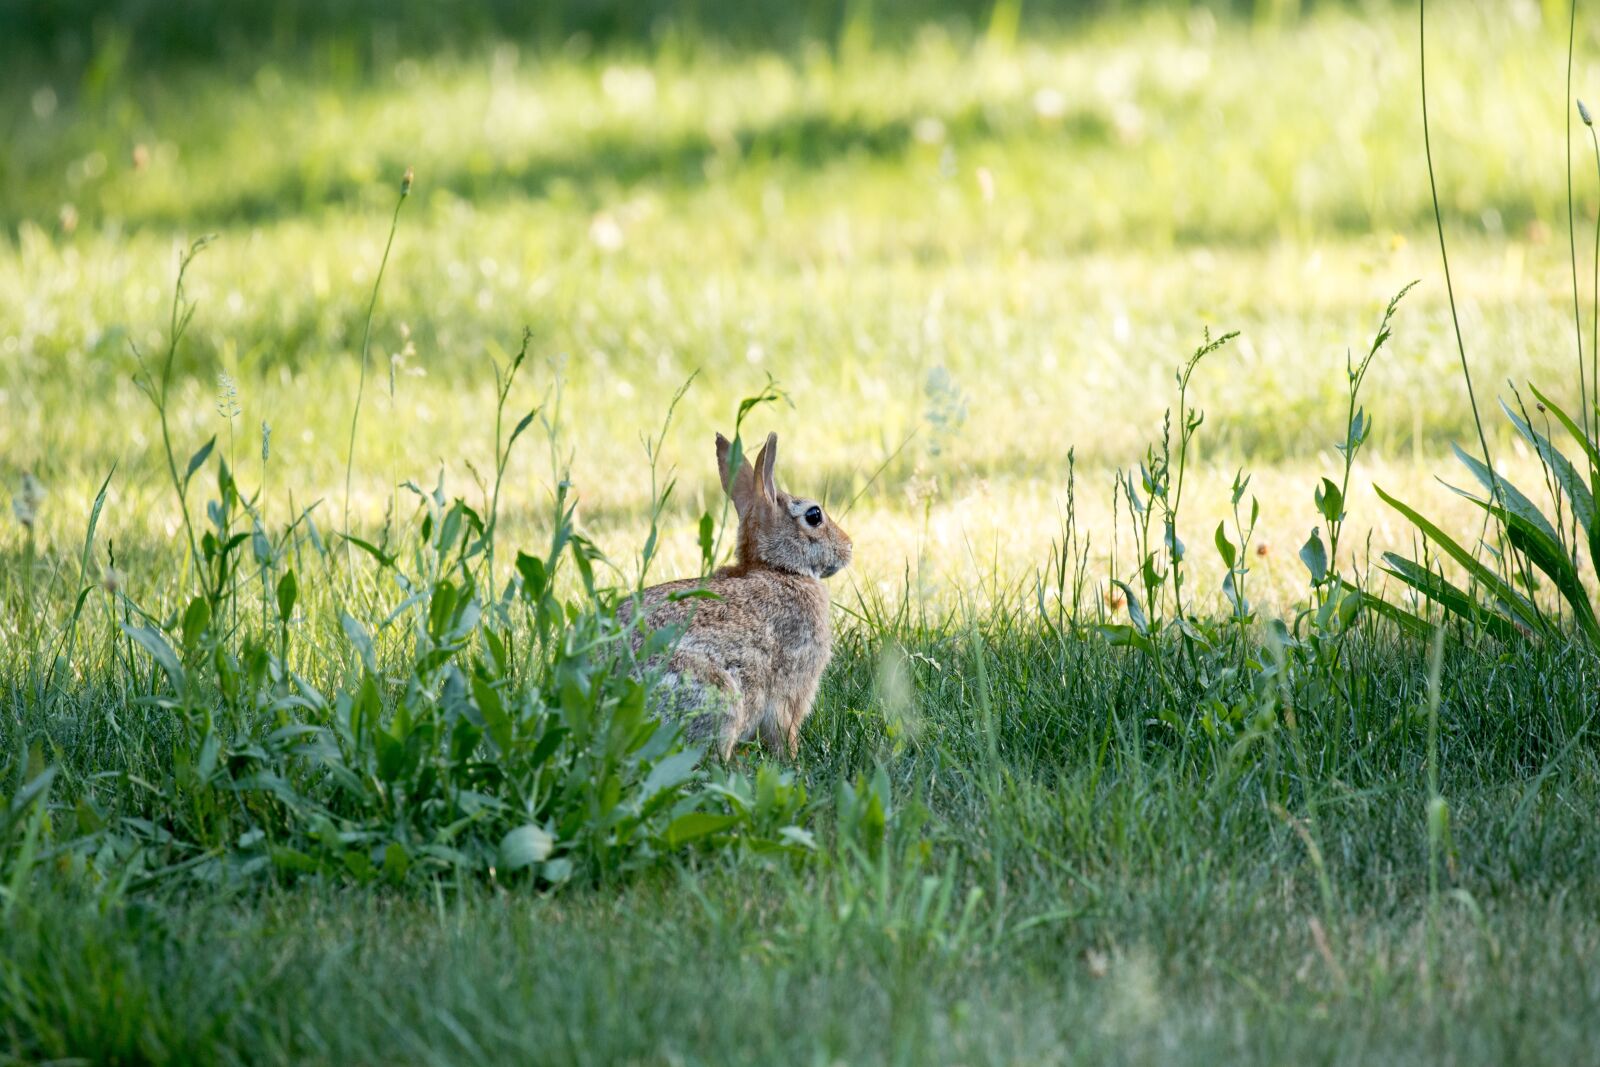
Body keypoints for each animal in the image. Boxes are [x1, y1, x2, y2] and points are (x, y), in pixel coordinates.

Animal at [620, 431, 852, 759]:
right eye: (814, 515)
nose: (849, 547)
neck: (778, 568)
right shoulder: (792, 688)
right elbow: (784, 731)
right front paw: (793, 760)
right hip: (716, 694)